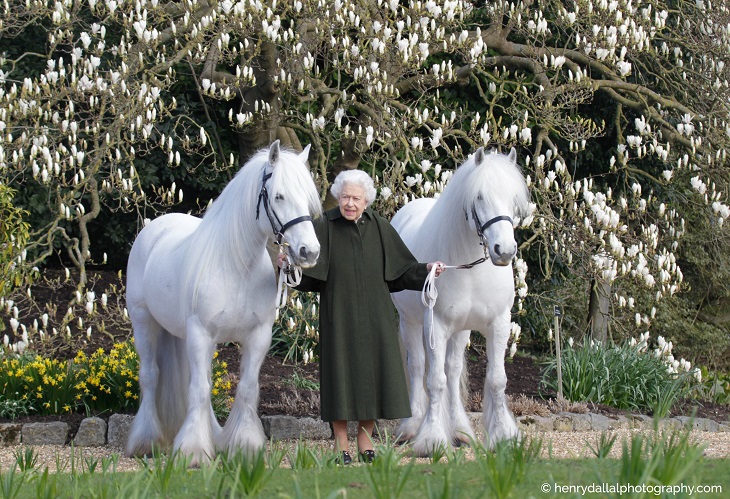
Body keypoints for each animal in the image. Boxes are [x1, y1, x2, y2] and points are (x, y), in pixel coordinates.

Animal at [126, 140, 320, 464]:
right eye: (279, 196)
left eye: (307, 198)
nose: (310, 251)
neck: (236, 266)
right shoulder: (201, 334)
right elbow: (200, 389)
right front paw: (193, 451)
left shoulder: (258, 337)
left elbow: (246, 388)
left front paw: (244, 445)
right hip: (144, 323)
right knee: (151, 376)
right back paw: (146, 441)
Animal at [392, 146, 528, 456]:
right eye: (479, 197)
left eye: (513, 199)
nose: (504, 250)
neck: (471, 268)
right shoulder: (437, 326)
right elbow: (434, 381)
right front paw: (431, 439)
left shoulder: (498, 323)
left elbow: (496, 380)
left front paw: (503, 435)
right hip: (411, 323)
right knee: (418, 367)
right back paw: (412, 426)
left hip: (461, 330)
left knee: (453, 372)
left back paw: (460, 430)